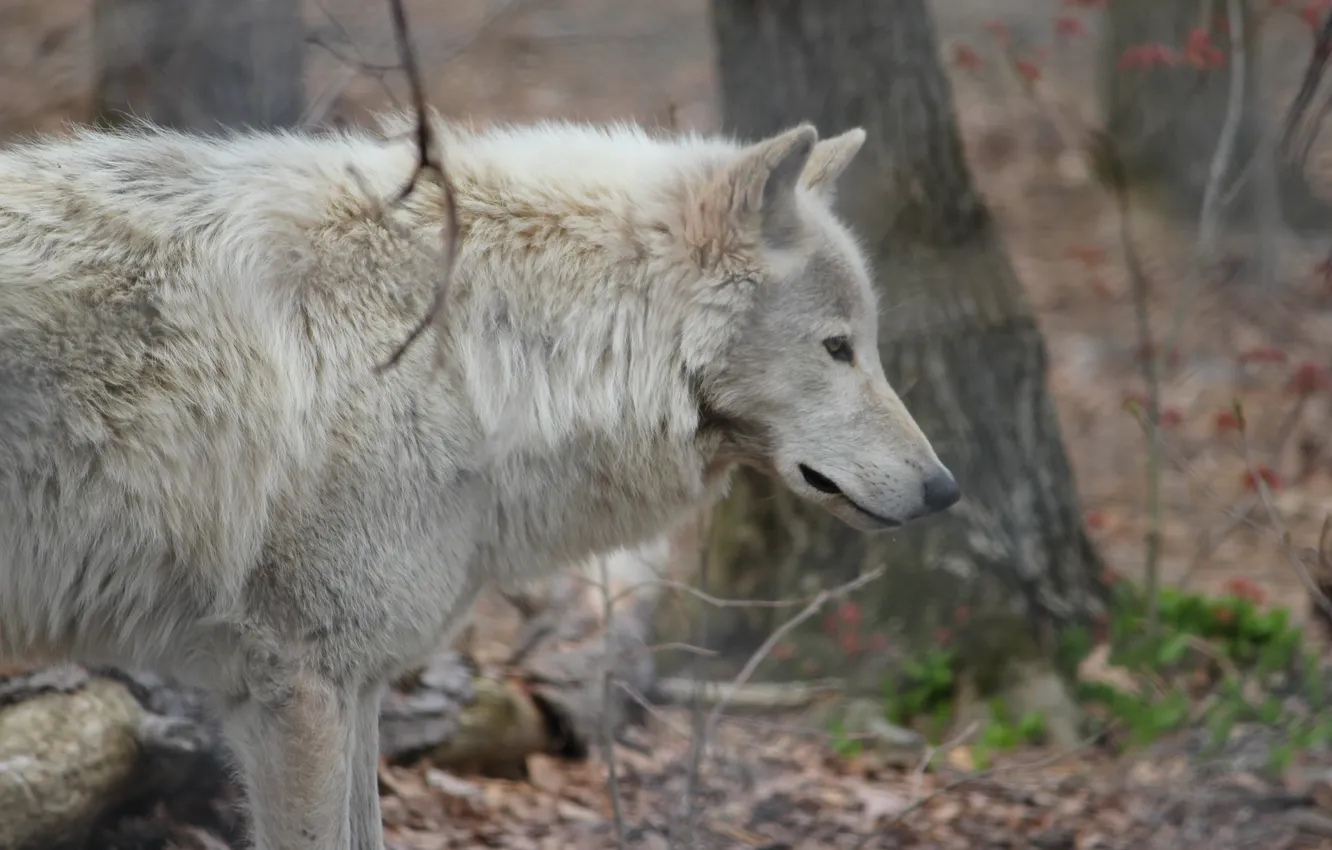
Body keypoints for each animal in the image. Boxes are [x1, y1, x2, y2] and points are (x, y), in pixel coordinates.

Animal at [0, 112, 959, 849]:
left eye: (863, 344)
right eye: (838, 347)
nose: (946, 490)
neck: (475, 347)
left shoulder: (352, 682)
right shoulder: (297, 685)